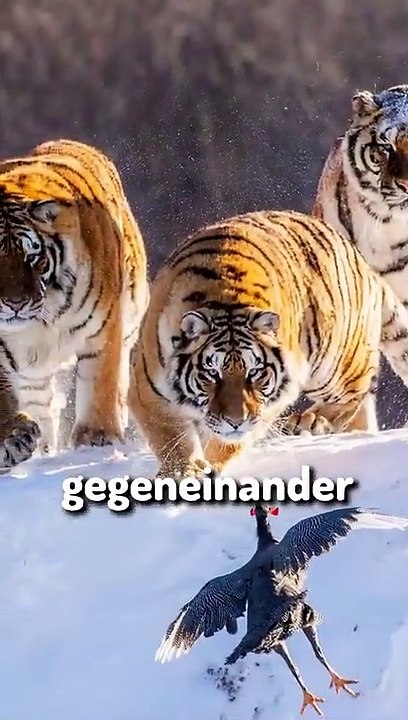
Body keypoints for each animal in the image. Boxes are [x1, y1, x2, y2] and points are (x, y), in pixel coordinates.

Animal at [0, 138, 149, 470]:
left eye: (32, 257)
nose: (15, 304)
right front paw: (12, 438)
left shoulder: (103, 327)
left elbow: (99, 383)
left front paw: (97, 437)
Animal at [127, 209, 408, 480]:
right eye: (212, 374)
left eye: (254, 373)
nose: (236, 421)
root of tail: (362, 261)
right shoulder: (147, 389)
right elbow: (170, 436)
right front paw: (183, 471)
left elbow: (225, 441)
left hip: (337, 363)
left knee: (354, 395)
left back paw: (308, 421)